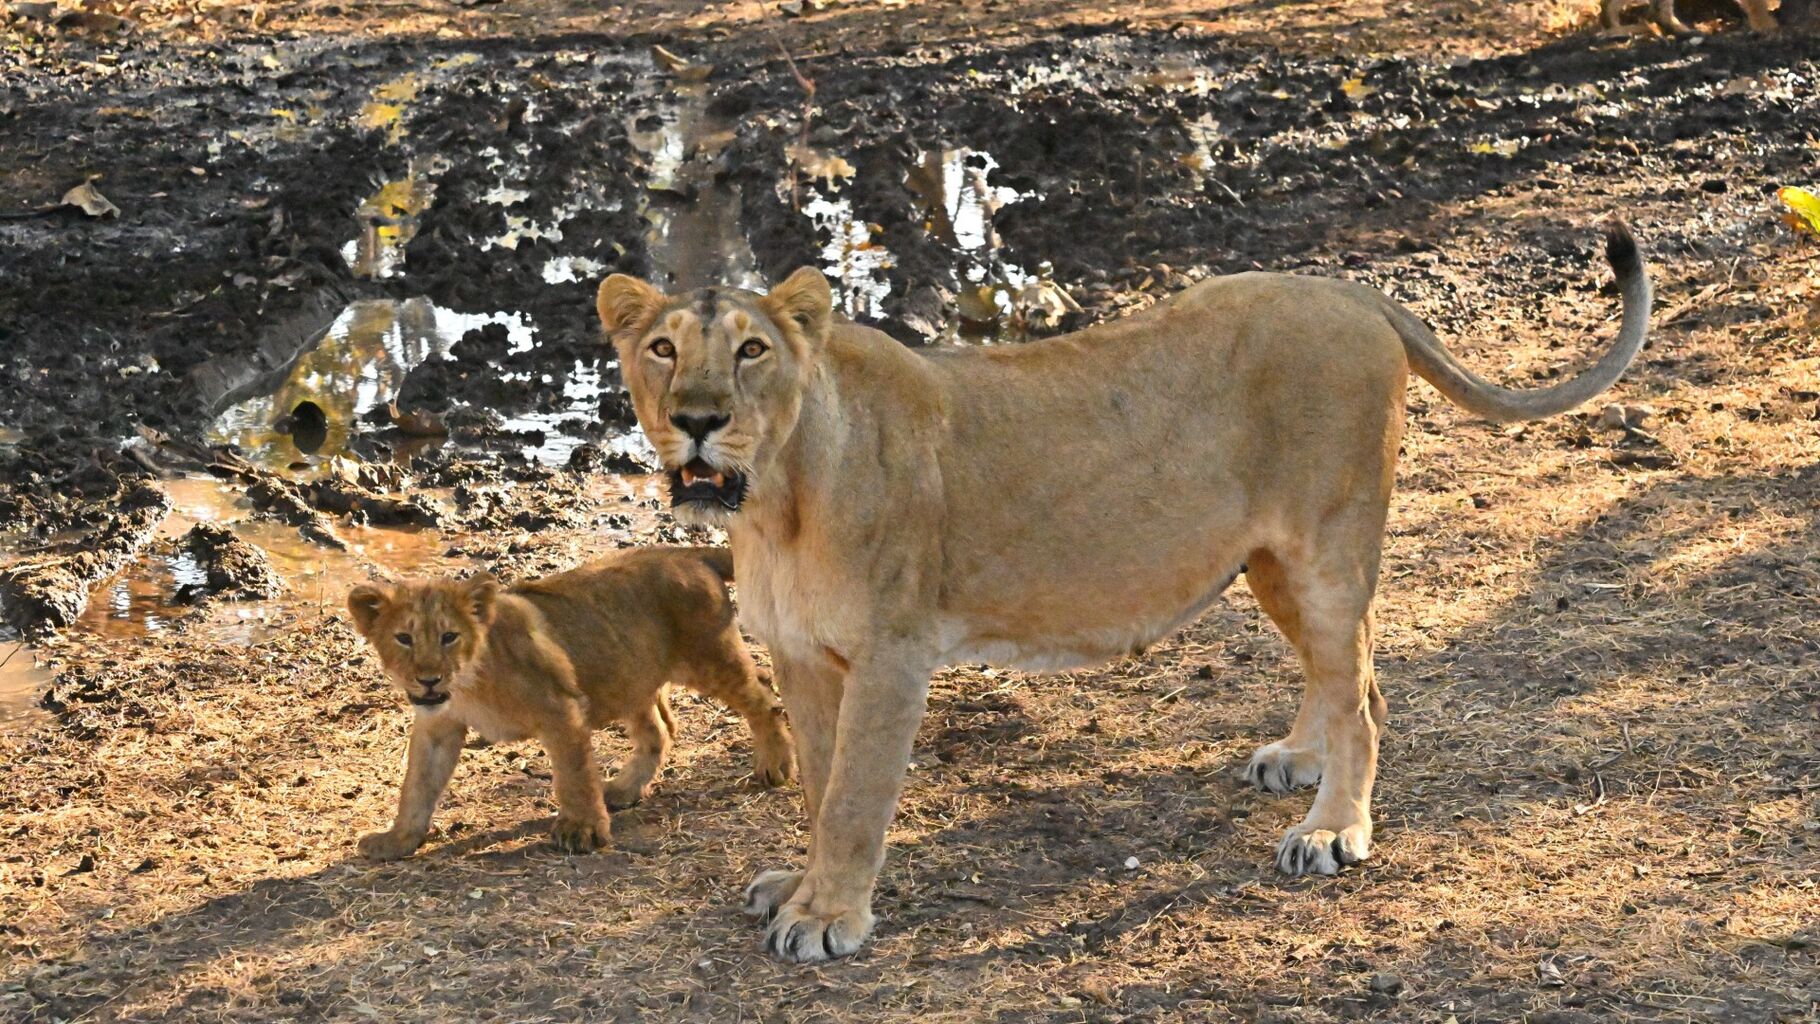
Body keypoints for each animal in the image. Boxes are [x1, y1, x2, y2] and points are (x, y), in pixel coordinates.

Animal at [346, 547, 796, 860]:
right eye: (404, 638)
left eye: (449, 636)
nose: (427, 679)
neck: (468, 683)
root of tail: (688, 553)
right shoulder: (439, 727)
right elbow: (417, 785)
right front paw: (397, 840)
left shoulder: (560, 708)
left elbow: (573, 775)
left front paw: (582, 830)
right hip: (628, 674)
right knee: (658, 731)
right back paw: (624, 790)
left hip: (709, 659)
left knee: (763, 695)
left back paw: (774, 765)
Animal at [595, 221, 1651, 962]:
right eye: (662, 350)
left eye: (751, 351)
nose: (698, 419)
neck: (775, 500)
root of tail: (1347, 288)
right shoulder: (805, 656)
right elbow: (818, 789)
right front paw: (801, 887)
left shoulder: (892, 657)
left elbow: (853, 797)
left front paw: (828, 917)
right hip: (1270, 561)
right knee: (1354, 676)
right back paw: (1301, 763)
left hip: (1326, 543)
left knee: (1360, 696)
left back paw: (1333, 829)